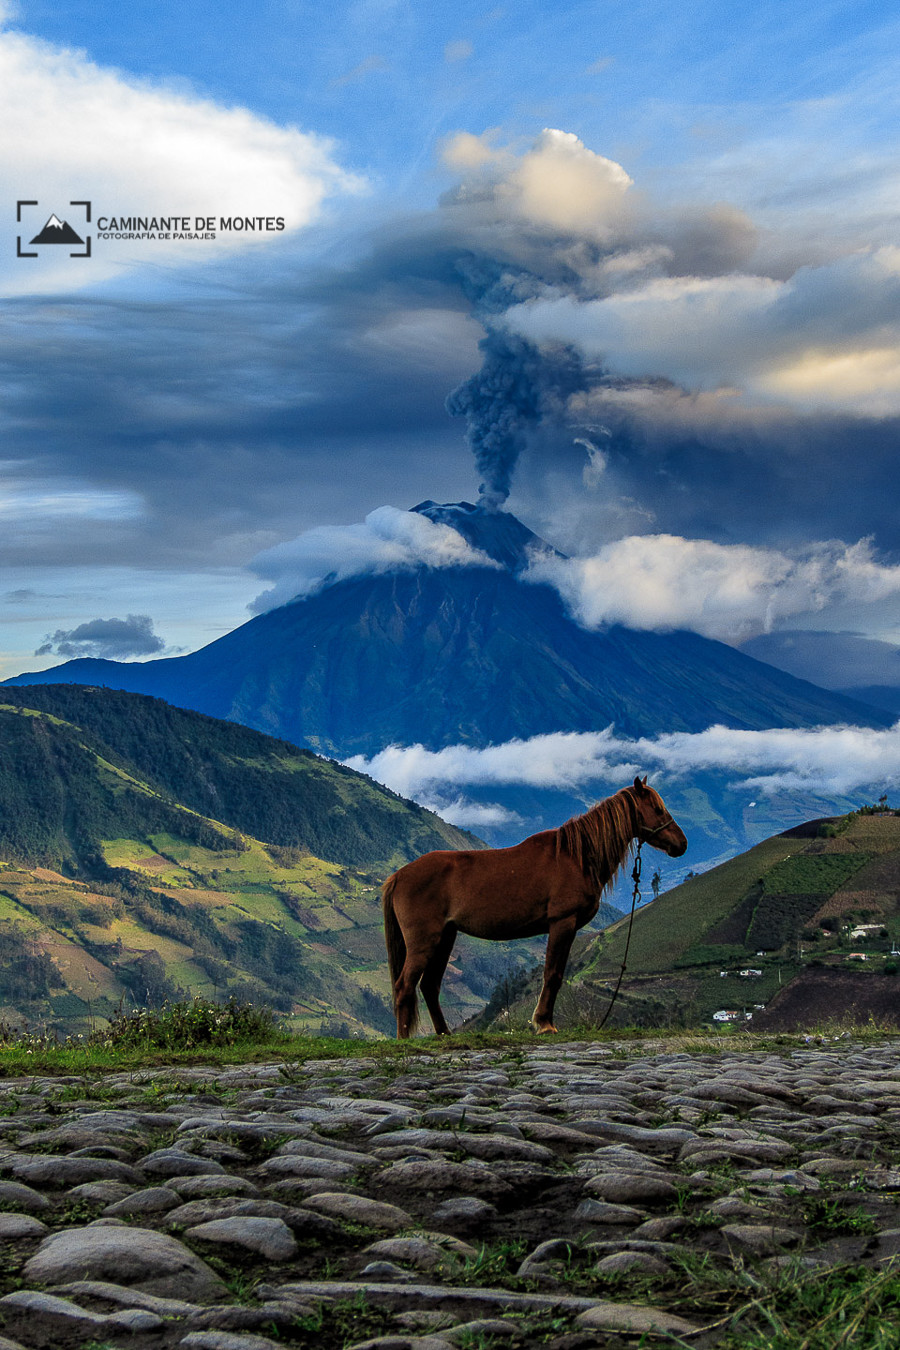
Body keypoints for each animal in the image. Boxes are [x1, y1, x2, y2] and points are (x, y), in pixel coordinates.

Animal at [383, 777, 685, 1036]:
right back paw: (404, 1038)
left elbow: (555, 974)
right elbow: (552, 974)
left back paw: (444, 1034)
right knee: (404, 986)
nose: (681, 844)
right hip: (424, 941)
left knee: (429, 986)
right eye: (657, 809)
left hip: (445, 938)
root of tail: (399, 876)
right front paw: (544, 1023)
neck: (576, 856)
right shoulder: (562, 923)